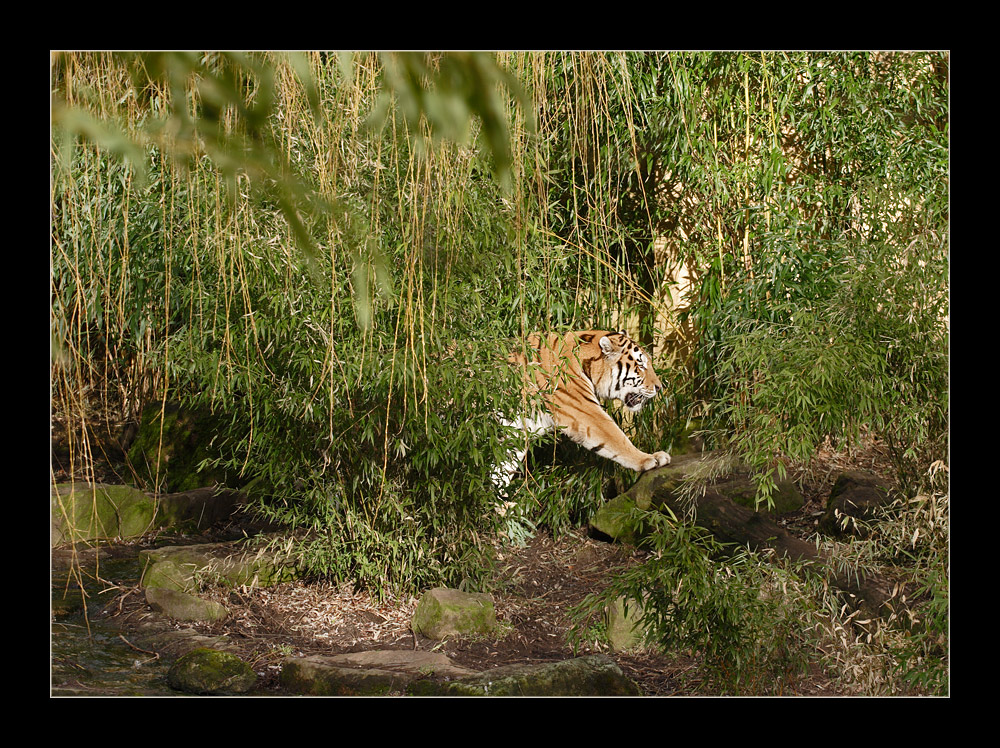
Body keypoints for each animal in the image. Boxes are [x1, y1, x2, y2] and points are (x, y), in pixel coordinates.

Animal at [494, 328, 672, 490]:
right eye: (640, 365)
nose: (659, 387)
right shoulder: (585, 413)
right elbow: (618, 438)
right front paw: (650, 459)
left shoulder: (516, 434)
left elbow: (501, 471)